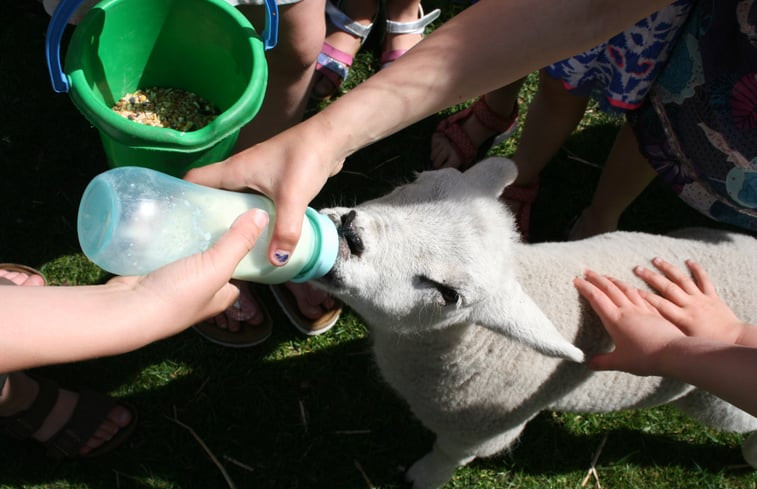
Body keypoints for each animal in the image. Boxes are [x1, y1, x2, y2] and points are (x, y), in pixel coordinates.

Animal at [312, 156, 756, 488]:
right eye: (414, 180)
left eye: (449, 294)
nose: (350, 234)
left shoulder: (480, 432)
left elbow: (447, 456)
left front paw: (422, 478)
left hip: (716, 400)